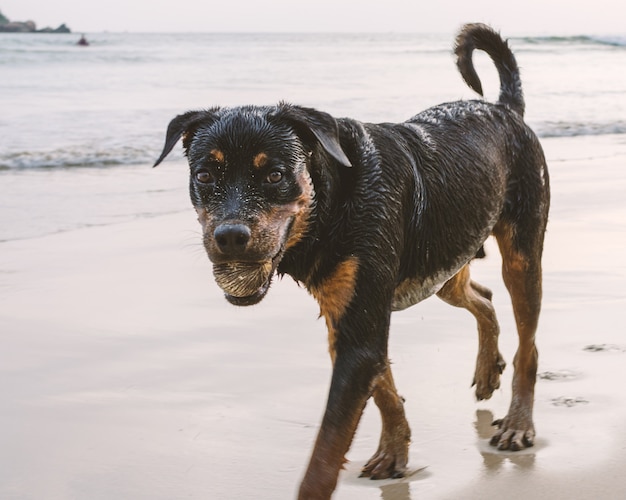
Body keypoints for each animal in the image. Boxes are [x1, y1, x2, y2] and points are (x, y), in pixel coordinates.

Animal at [155, 23, 544, 500]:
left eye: (275, 175)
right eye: (205, 175)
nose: (229, 236)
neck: (332, 199)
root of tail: (505, 109)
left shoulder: (361, 325)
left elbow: (326, 449)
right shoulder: (347, 319)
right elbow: (383, 389)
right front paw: (395, 450)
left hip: (522, 255)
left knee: (528, 343)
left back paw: (519, 423)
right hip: (445, 262)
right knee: (482, 296)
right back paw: (488, 370)